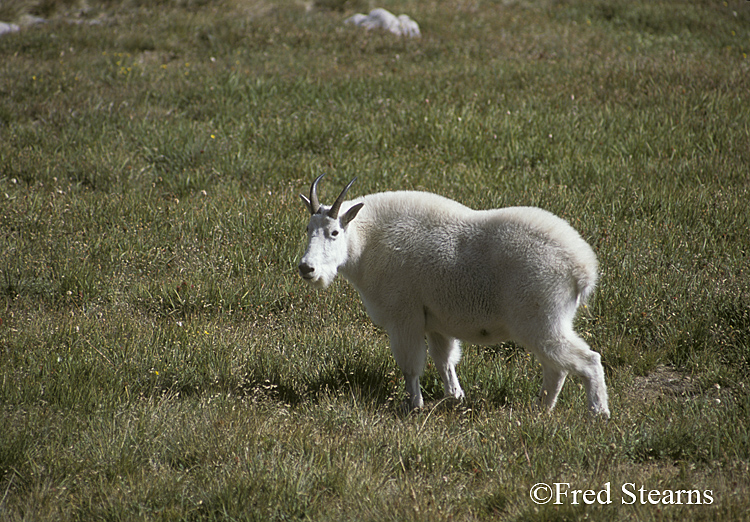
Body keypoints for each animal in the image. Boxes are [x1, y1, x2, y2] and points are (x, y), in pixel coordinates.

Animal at [298, 175, 609, 418]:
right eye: (308, 229)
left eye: (334, 232)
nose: (306, 268)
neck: (366, 242)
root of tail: (582, 270)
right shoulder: (436, 322)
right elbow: (444, 360)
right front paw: (455, 398)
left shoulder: (404, 317)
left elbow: (410, 365)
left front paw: (414, 406)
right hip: (546, 322)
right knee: (556, 368)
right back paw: (541, 410)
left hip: (541, 319)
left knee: (585, 360)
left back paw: (597, 413)